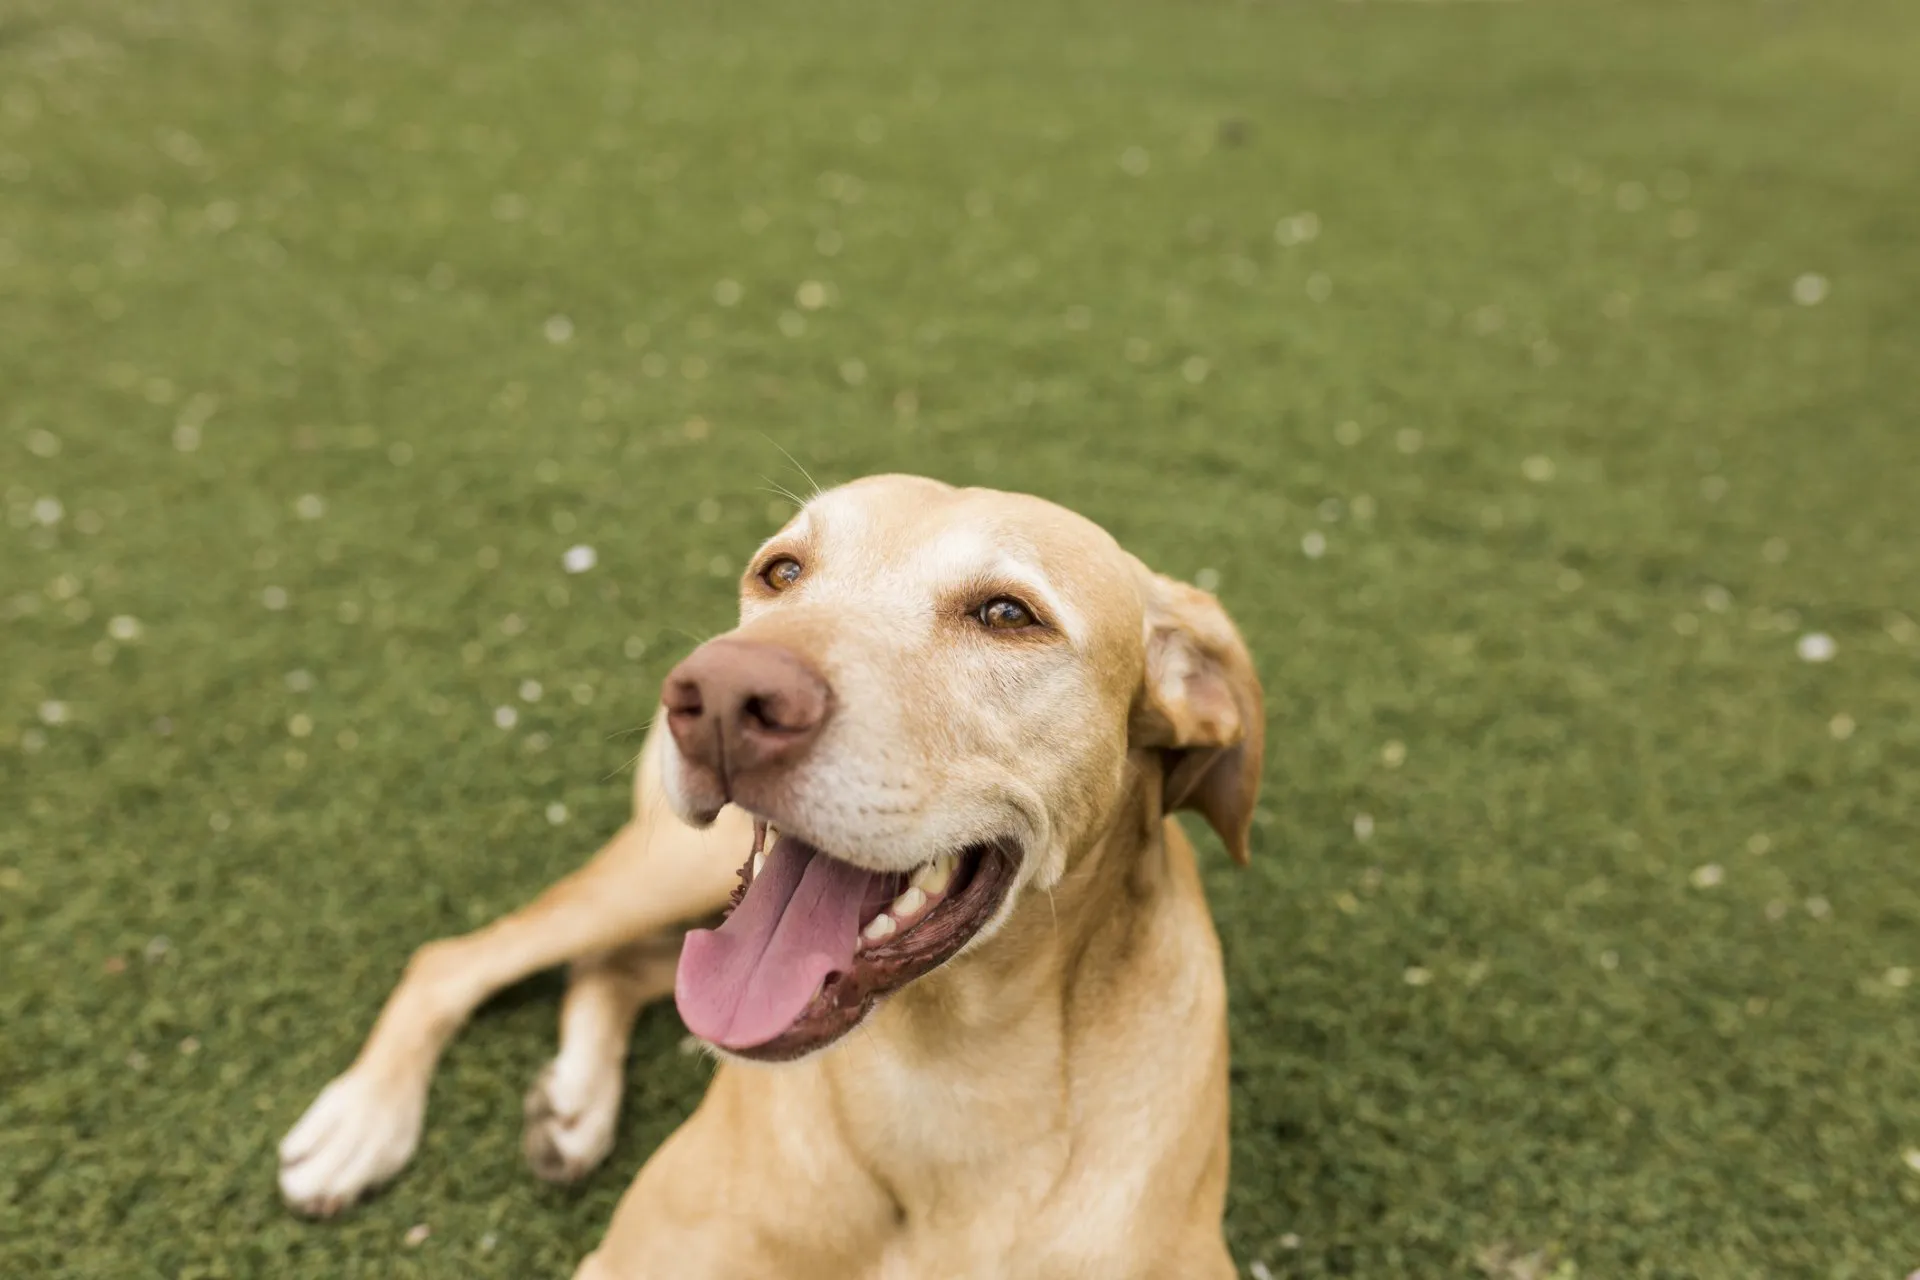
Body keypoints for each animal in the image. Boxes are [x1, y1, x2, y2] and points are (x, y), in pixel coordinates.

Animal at [270, 477, 1259, 1280]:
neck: (943, 1079)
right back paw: (363, 1124)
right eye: (782, 572)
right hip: (670, 865)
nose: (717, 694)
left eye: (1009, 615)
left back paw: (573, 1105)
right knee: (460, 957)